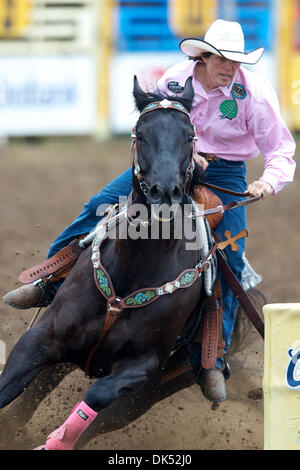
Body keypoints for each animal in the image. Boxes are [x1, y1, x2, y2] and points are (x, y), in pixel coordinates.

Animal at [0, 75, 258, 450]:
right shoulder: (41, 341)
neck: (133, 271)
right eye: (141, 133)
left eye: (189, 136)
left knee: (99, 419)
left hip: (146, 396)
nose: (164, 192)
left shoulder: (140, 369)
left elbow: (96, 398)